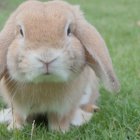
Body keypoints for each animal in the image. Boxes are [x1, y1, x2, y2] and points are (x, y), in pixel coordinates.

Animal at [0, 0, 120, 132]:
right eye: (21, 32)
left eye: (69, 30)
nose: (46, 58)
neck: (45, 83)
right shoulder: (18, 106)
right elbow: (19, 117)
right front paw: (14, 129)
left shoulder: (63, 108)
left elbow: (58, 119)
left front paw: (60, 131)